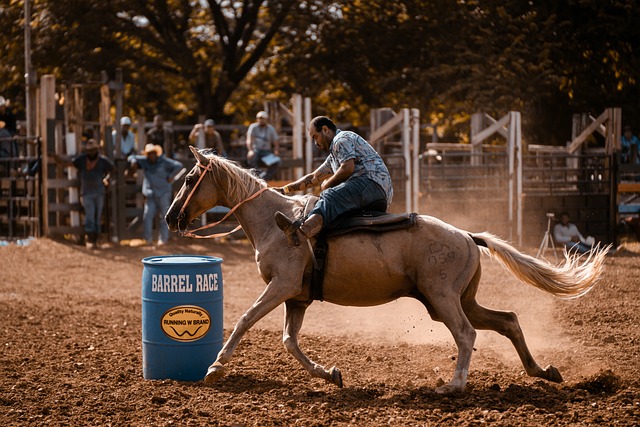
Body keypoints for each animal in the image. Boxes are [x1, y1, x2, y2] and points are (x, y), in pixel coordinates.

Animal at [165, 147, 608, 394]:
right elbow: (290, 342)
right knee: (508, 320)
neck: (275, 223)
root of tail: (466, 235)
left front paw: (215, 367)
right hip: (453, 300)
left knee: (467, 334)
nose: (171, 218)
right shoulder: (297, 298)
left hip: (444, 298)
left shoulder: (281, 286)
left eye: (190, 178)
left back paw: (453, 386)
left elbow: (244, 319)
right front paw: (331, 374)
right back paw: (542, 371)